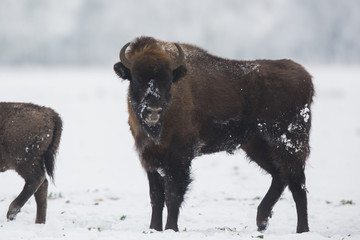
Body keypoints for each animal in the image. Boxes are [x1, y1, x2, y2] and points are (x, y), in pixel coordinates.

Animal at [114, 36, 314, 232]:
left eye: (168, 80)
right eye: (136, 78)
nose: (153, 110)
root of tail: (305, 76)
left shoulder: (179, 158)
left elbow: (173, 195)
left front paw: (171, 229)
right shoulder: (149, 158)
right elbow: (156, 196)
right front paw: (154, 229)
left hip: (289, 142)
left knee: (298, 186)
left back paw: (302, 230)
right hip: (257, 146)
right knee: (280, 176)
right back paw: (261, 221)